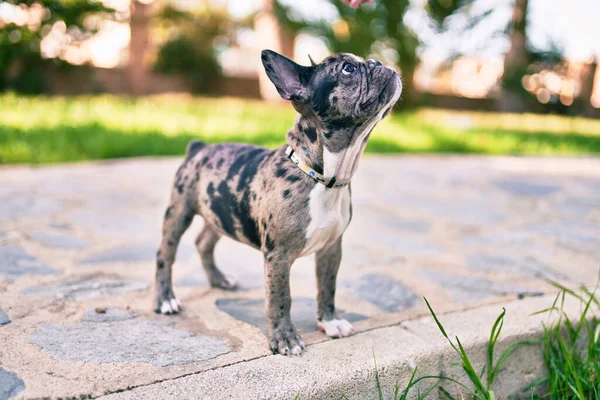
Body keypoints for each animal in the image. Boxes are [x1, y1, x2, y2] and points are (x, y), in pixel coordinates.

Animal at [155, 49, 400, 356]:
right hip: (179, 211)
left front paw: (329, 321)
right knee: (165, 255)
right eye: (347, 68)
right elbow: (281, 297)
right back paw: (165, 299)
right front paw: (284, 338)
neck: (323, 177)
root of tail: (199, 148)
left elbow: (327, 286)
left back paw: (219, 279)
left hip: (220, 212)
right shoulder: (278, 257)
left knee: (204, 242)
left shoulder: (331, 249)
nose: (379, 63)